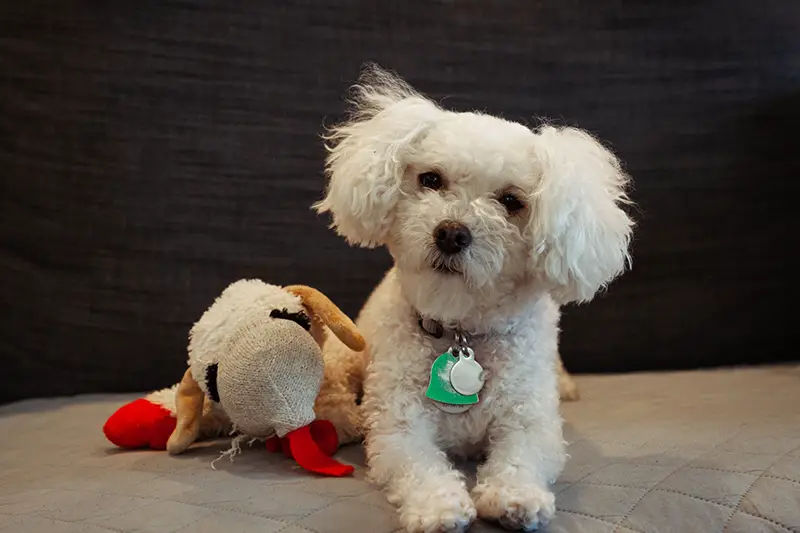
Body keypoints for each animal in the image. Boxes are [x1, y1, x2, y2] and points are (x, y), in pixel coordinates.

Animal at [312, 64, 632, 528]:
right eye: (430, 179)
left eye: (512, 201)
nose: (450, 233)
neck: (461, 330)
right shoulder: (399, 426)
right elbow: (419, 465)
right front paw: (439, 506)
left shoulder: (532, 422)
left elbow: (521, 458)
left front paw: (515, 496)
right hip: (352, 354)